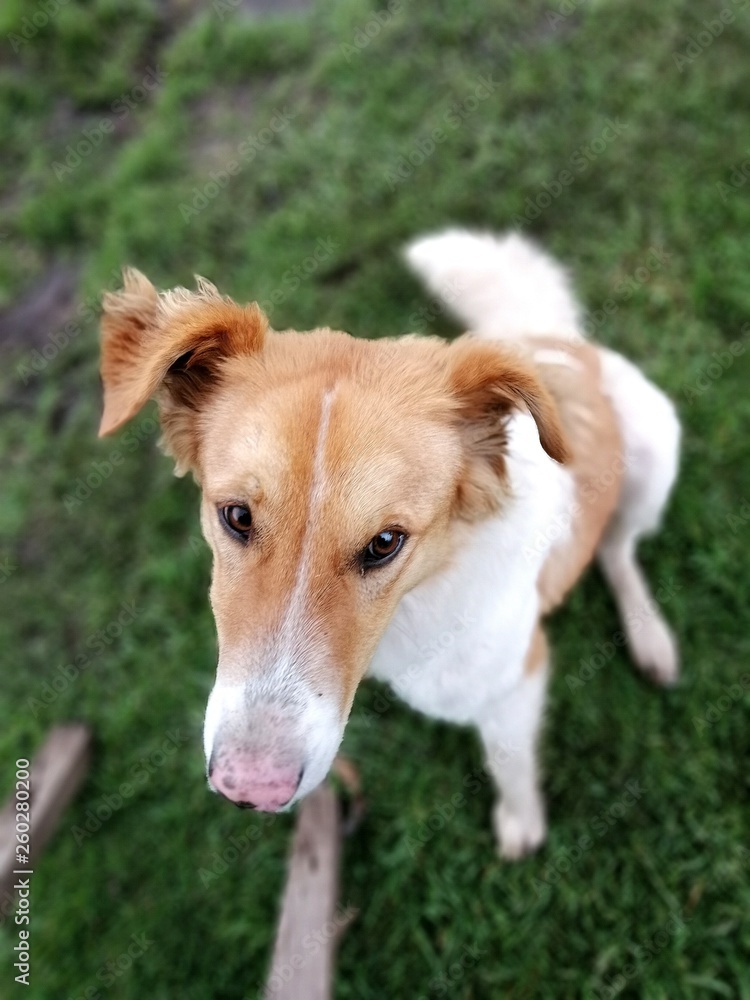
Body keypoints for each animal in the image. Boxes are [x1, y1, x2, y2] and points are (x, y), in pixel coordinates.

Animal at [97, 229, 680, 860]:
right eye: (236, 516)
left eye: (384, 543)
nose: (249, 790)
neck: (423, 590)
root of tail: (551, 336)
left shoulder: (515, 680)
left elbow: (510, 760)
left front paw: (521, 820)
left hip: (655, 447)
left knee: (619, 550)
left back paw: (649, 635)